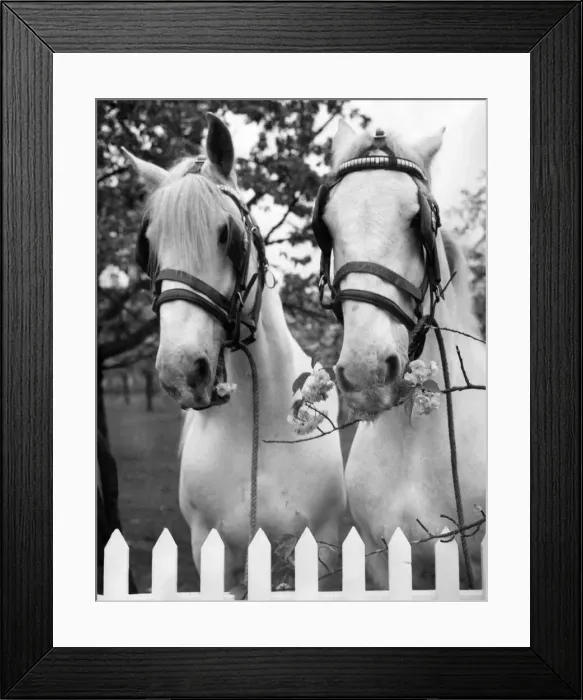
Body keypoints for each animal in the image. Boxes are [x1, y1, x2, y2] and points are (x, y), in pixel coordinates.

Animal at [123, 113, 347, 595]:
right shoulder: (210, 551)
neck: (256, 435)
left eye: (227, 235)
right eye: (145, 248)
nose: (180, 371)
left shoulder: (320, 550)